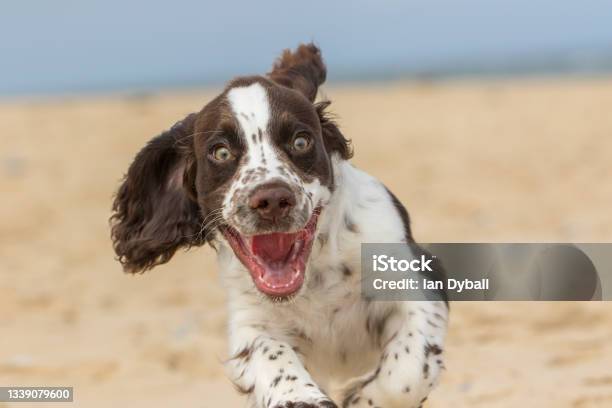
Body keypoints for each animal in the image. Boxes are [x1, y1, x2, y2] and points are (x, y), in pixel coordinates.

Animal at [111, 44, 444, 408]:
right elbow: (272, 357)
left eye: (301, 142)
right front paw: (304, 398)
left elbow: (408, 371)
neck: (314, 277)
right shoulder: (251, 323)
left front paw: (361, 398)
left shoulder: (417, 280)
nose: (271, 199)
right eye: (221, 152)